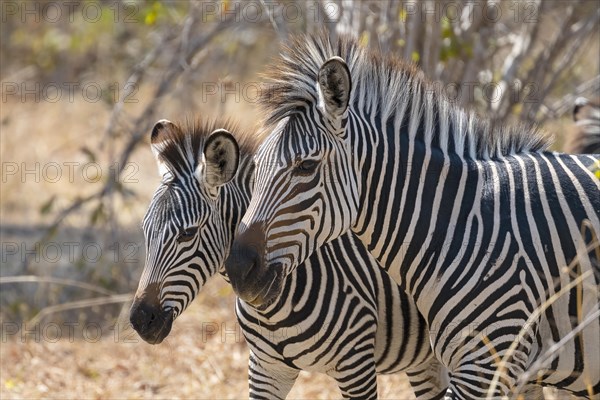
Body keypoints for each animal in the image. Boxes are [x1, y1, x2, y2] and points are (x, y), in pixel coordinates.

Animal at [131, 119, 450, 400]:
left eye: (187, 233)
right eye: (145, 231)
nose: (140, 320)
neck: (272, 304)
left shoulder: (356, 364)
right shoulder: (266, 368)